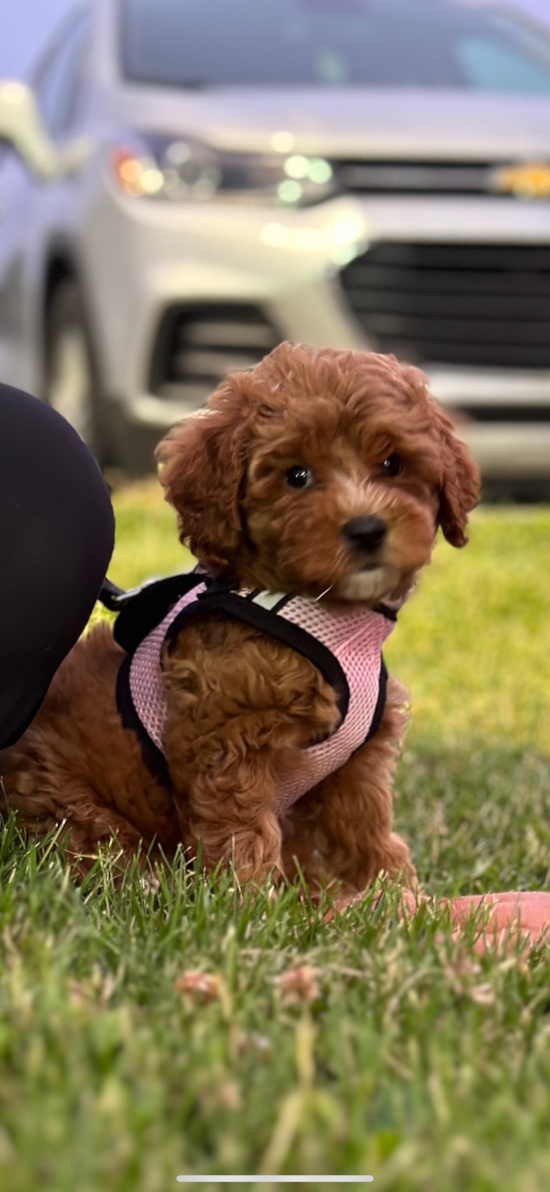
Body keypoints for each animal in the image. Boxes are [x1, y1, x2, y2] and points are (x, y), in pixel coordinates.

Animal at [0, 345, 477, 896]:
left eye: (392, 463)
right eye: (296, 476)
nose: (366, 529)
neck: (321, 611)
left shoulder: (357, 762)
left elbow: (365, 823)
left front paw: (397, 893)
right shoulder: (226, 736)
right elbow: (241, 828)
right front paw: (246, 897)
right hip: (68, 799)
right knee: (95, 845)